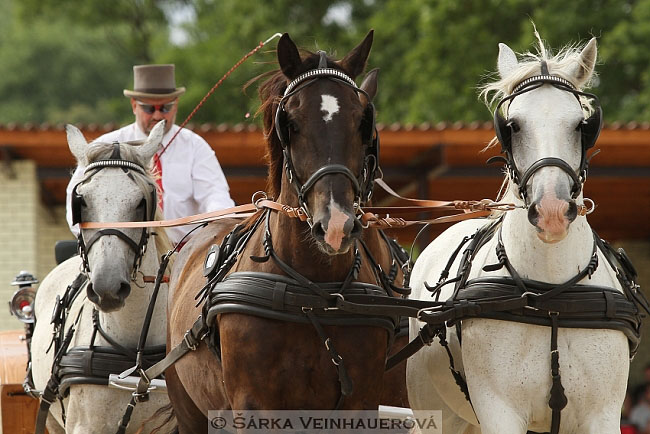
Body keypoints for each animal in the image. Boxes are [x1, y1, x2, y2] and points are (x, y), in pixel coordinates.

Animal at [165, 31, 408, 434]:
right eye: (290, 122)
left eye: (363, 121)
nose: (336, 225)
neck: (313, 295)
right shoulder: (253, 405)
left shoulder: (360, 404)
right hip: (189, 409)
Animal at [408, 37, 640, 434]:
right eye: (513, 125)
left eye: (581, 125)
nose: (551, 211)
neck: (551, 296)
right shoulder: (499, 411)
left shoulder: (603, 414)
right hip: (436, 413)